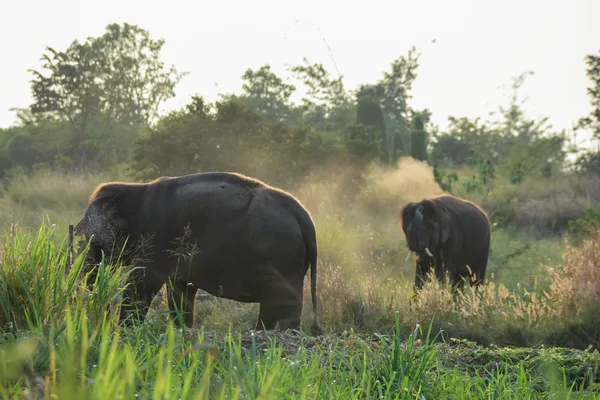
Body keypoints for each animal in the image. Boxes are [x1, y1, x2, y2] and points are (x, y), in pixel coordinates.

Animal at [74, 170, 318, 332]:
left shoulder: (156, 238)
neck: (135, 189)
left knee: (284, 303)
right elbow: (180, 290)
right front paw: (182, 330)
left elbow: (142, 283)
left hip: (281, 256)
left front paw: (125, 331)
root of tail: (304, 215)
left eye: (90, 240)